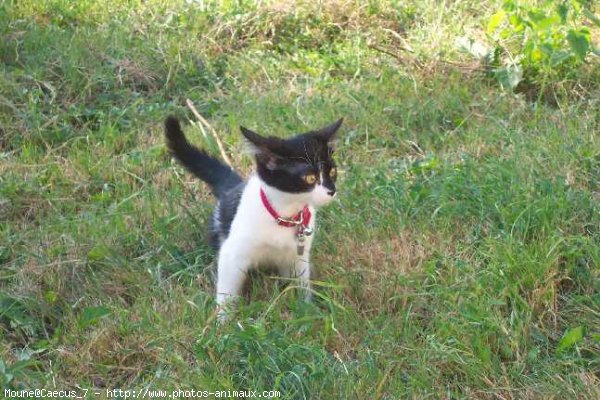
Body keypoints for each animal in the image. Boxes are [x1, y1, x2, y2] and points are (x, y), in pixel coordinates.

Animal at [164, 115, 342, 318]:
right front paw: (222, 321)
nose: (332, 191)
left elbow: (301, 282)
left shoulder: (298, 255)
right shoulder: (232, 253)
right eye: (310, 178)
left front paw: (307, 309)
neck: (283, 216)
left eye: (333, 172)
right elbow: (227, 289)